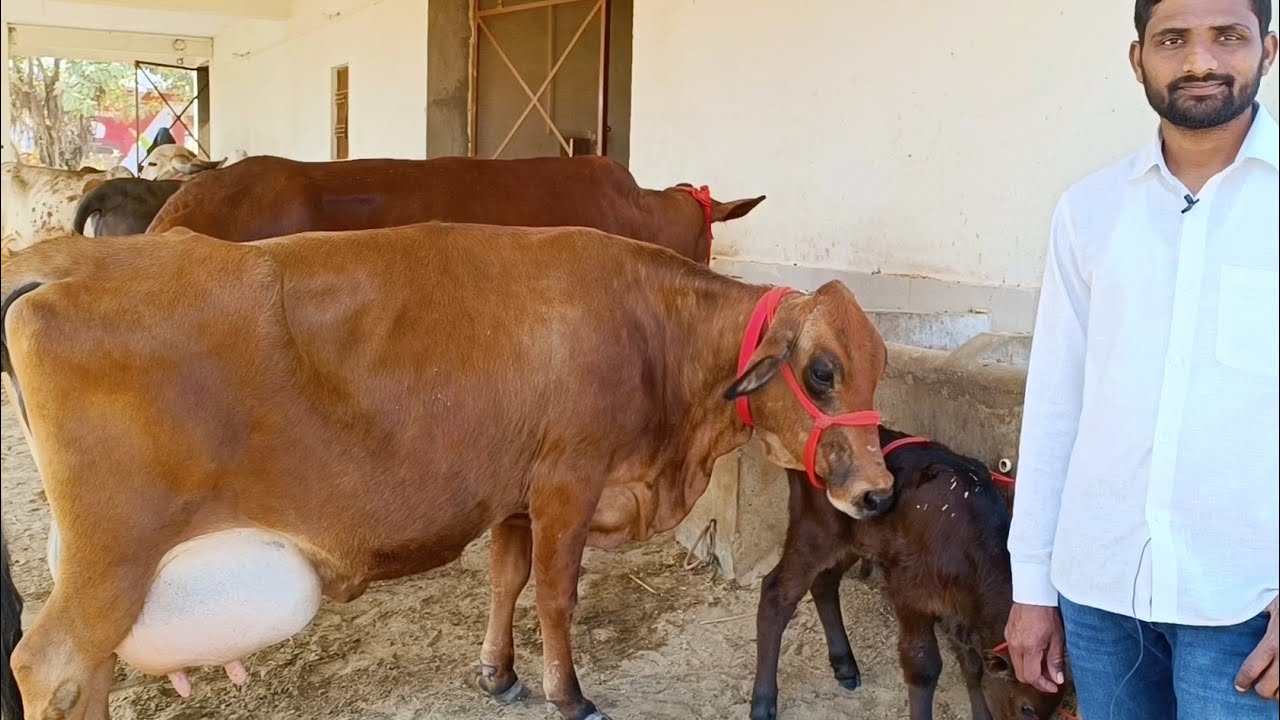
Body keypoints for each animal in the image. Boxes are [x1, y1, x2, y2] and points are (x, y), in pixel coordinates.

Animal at [0, 222, 894, 720]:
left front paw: (498, 674)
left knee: (88, 674)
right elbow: (557, 598)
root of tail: (64, 262)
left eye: (880, 367)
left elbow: (505, 581)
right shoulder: (567, 484)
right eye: (821, 371)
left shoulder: (515, 495)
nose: (878, 490)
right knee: (54, 667)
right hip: (112, 555)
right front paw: (569, 696)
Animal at [748, 431, 1075, 720]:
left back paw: (845, 665)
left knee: (824, 583)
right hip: (814, 531)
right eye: (1027, 708)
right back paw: (763, 703)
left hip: (854, 540)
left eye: (1056, 706)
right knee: (776, 594)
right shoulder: (910, 592)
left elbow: (971, 665)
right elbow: (923, 665)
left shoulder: (957, 608)